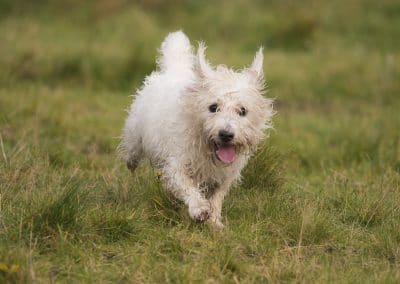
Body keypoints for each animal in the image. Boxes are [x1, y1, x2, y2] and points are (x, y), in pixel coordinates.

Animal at [119, 31, 274, 227]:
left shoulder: (226, 174)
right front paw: (198, 208)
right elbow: (186, 185)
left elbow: (218, 195)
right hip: (135, 138)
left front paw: (215, 221)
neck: (207, 149)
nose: (226, 134)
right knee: (132, 155)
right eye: (213, 107)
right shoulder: (177, 162)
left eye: (243, 111)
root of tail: (175, 69)